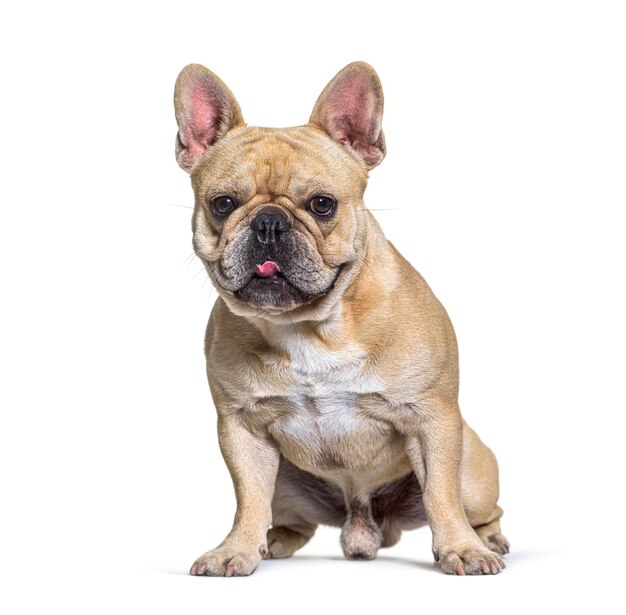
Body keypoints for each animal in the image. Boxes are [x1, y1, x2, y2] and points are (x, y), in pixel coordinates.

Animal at [172, 62, 508, 576]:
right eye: (223, 204)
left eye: (321, 204)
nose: (268, 223)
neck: (310, 326)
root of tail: (364, 522)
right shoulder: (241, 428)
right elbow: (248, 500)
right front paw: (235, 550)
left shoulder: (431, 419)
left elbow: (440, 495)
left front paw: (461, 549)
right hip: (286, 483)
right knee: (285, 517)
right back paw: (270, 541)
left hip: (473, 472)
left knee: (477, 506)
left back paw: (487, 540)